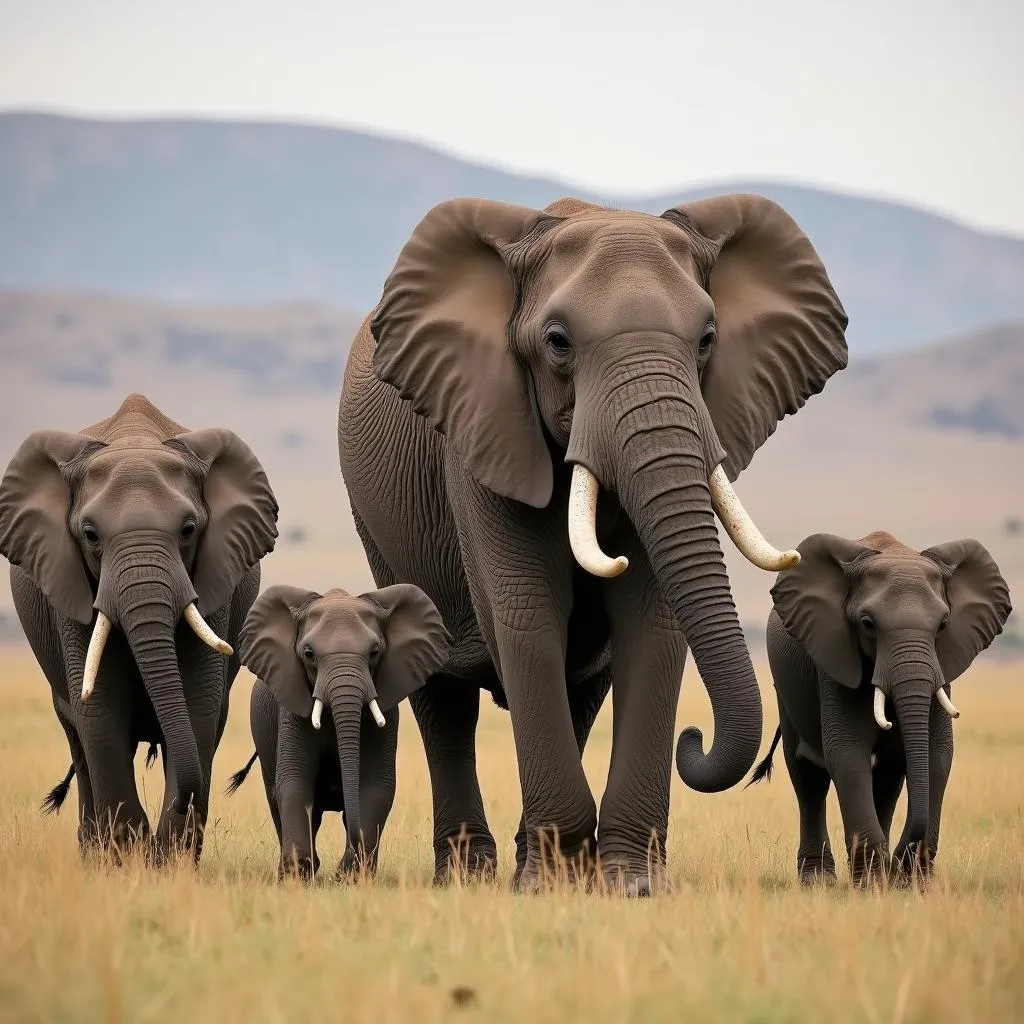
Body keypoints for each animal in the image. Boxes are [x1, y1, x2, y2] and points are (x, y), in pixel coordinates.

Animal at [0, 391, 278, 864]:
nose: (183, 801)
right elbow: (100, 706)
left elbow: (198, 703)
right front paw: (129, 859)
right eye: (90, 535)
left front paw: (169, 862)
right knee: (78, 736)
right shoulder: (67, 582)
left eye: (188, 530)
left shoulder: (214, 579)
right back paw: (94, 853)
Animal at [230, 585, 450, 880]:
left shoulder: (386, 711)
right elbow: (295, 782)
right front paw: (299, 876)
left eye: (375, 652)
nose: (341, 866)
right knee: (277, 797)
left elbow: (377, 785)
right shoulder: (292, 710)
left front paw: (352, 876)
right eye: (309, 653)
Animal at [339, 193, 851, 897]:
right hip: (379, 525)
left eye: (708, 339)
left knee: (582, 687)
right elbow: (528, 617)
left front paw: (629, 885)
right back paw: (470, 876)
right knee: (441, 697)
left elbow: (652, 625)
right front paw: (549, 888)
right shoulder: (482, 433)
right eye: (557, 343)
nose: (695, 738)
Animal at [749, 532, 1011, 884]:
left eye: (943, 625)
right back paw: (819, 880)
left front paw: (907, 885)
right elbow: (847, 753)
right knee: (807, 777)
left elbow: (938, 755)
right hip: (786, 687)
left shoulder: (942, 667)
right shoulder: (834, 659)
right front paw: (872, 885)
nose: (902, 861)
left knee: (886, 781)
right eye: (867, 623)